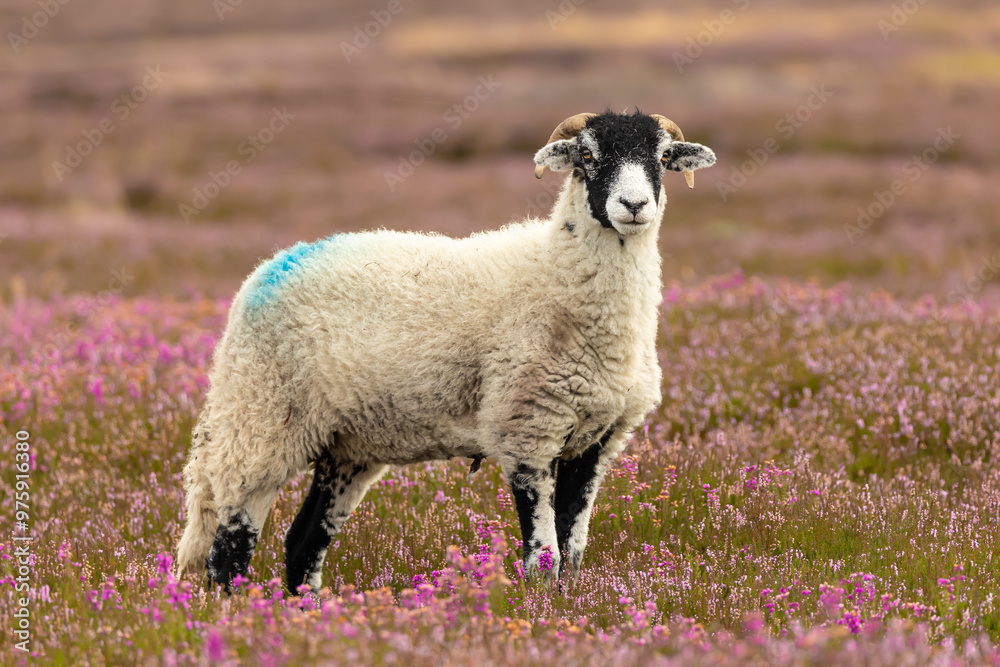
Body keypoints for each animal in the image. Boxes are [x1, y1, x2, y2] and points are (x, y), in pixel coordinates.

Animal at [175, 110, 716, 591]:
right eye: (587, 154)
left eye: (662, 157)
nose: (633, 205)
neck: (556, 275)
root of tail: (267, 271)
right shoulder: (526, 429)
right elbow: (543, 558)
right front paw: (540, 613)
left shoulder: (597, 440)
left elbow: (574, 553)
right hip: (262, 419)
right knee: (230, 544)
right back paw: (235, 614)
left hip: (345, 446)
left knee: (302, 543)